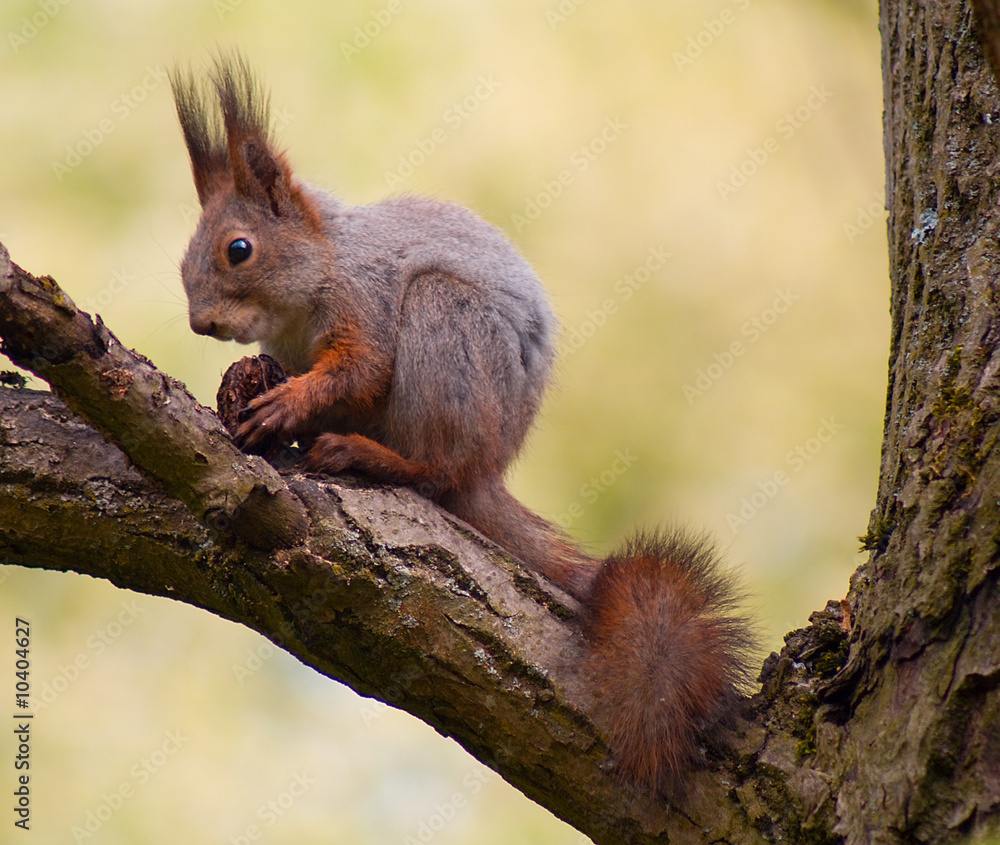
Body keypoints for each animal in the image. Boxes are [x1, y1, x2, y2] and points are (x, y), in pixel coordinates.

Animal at [170, 53, 754, 794]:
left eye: (239, 249)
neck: (315, 279)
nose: (201, 324)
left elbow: (360, 370)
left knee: (438, 470)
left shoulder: (367, 301)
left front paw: (285, 405)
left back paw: (370, 456)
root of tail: (490, 463)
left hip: (444, 324)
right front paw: (256, 390)